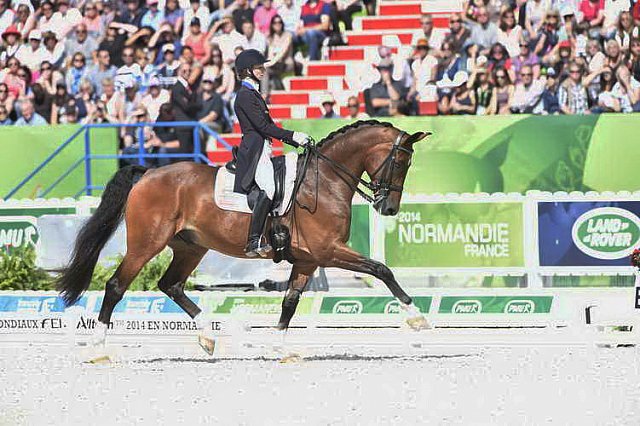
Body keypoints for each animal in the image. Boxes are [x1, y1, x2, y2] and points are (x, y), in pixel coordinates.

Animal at [56, 119, 430, 352]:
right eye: (401, 162)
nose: (389, 209)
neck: (324, 181)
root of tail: (148, 173)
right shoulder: (328, 251)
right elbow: (381, 269)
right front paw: (417, 318)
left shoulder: (308, 260)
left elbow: (290, 302)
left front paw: (278, 347)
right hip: (147, 243)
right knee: (116, 286)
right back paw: (100, 347)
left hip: (191, 248)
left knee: (171, 285)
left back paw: (207, 336)